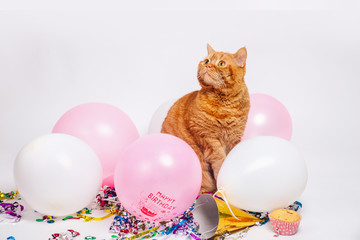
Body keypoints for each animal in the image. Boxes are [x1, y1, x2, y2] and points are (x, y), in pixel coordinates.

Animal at [162, 44, 249, 192]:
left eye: (221, 63)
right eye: (207, 61)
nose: (208, 66)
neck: (225, 106)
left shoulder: (235, 137)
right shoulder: (206, 136)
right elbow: (220, 160)